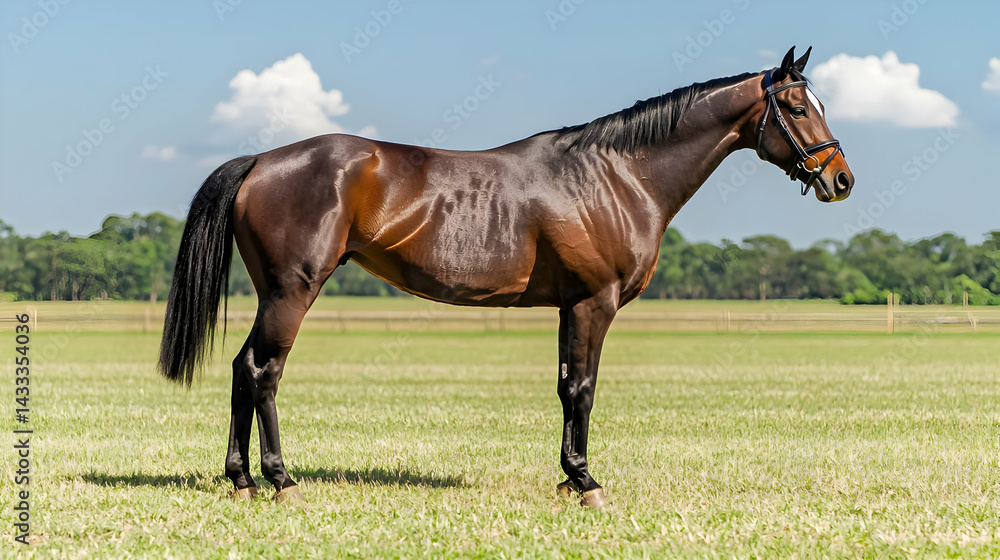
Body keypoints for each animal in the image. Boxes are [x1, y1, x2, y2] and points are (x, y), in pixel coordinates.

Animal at [159, 46, 853, 508]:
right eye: (797, 106)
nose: (840, 178)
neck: (613, 175)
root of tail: (260, 161)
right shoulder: (593, 302)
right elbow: (584, 390)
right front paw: (587, 482)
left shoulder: (569, 305)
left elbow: (566, 387)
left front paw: (568, 477)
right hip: (292, 290)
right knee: (263, 371)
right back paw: (279, 480)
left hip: (273, 294)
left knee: (242, 368)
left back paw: (242, 480)